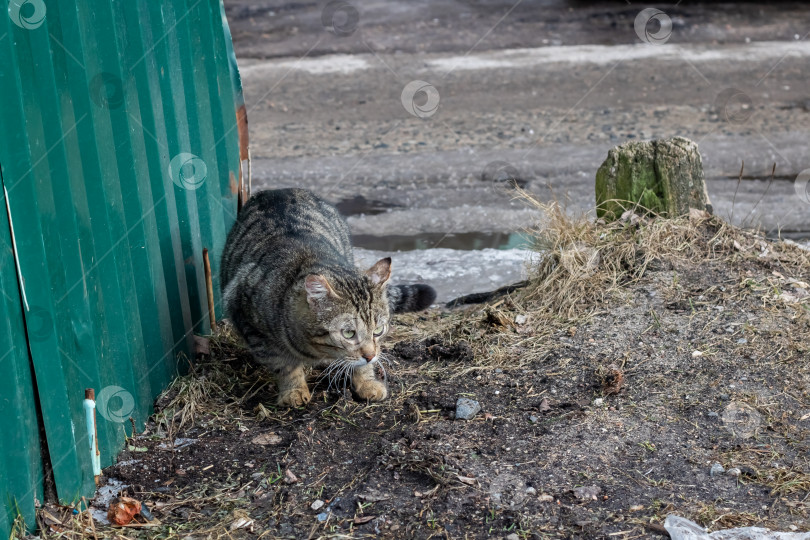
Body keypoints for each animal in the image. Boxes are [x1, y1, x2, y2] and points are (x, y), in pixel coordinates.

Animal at [219, 189, 436, 404]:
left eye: (378, 330)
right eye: (348, 333)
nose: (370, 356)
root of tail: (277, 190)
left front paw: (367, 382)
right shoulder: (248, 320)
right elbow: (284, 365)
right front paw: (293, 390)